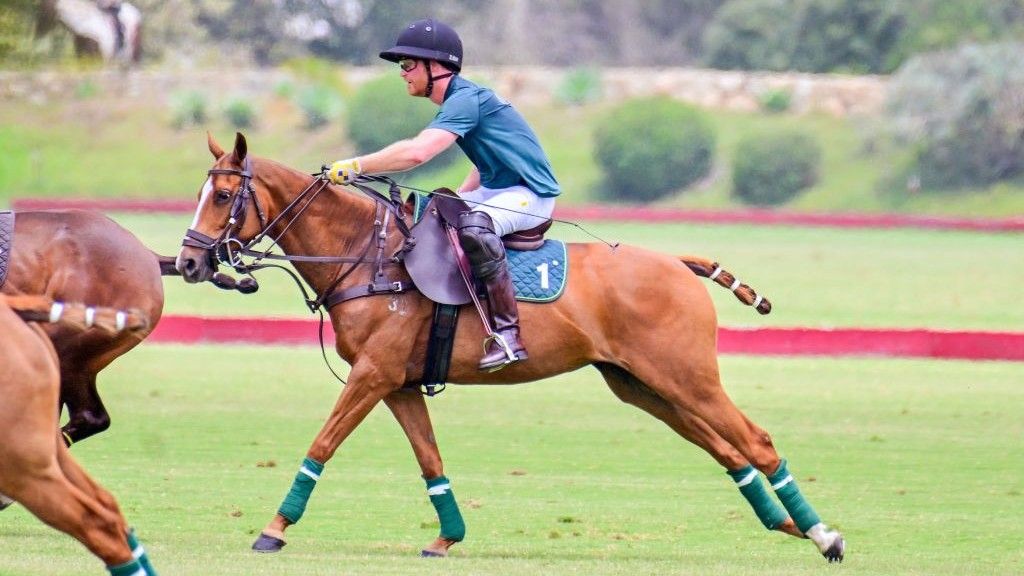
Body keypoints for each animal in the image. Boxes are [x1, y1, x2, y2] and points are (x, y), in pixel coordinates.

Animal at [178, 133, 847, 561]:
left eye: (222, 196)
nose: (188, 262)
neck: (367, 256)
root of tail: (680, 264)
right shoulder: (397, 382)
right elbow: (430, 461)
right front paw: (446, 537)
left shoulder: (372, 374)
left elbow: (322, 444)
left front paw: (273, 530)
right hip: (642, 385)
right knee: (726, 449)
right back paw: (787, 524)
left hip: (687, 376)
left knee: (755, 441)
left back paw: (825, 537)